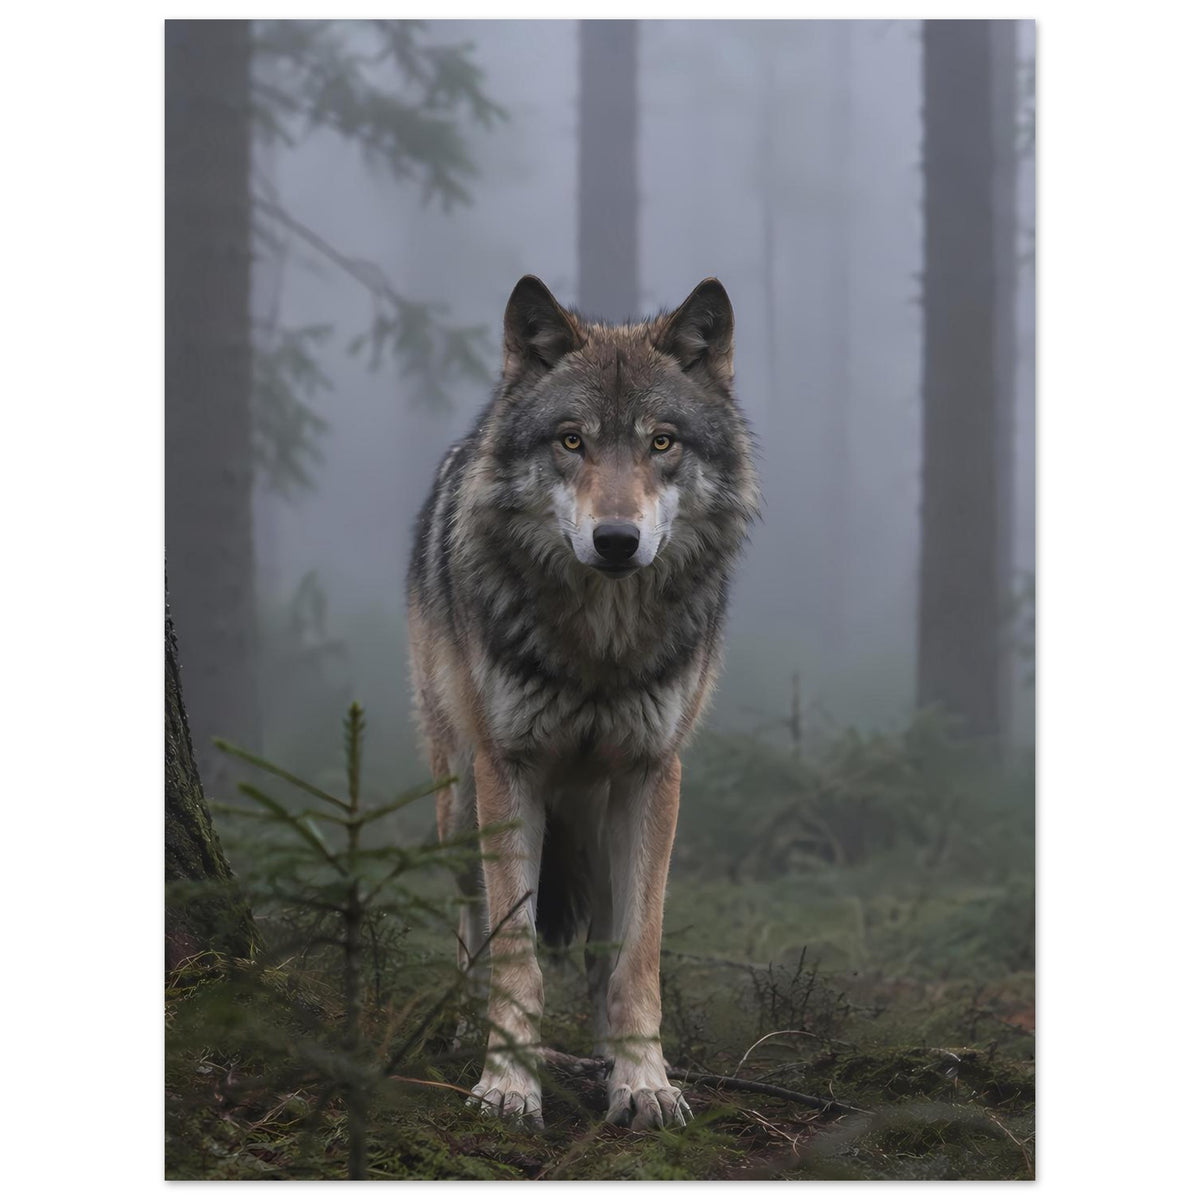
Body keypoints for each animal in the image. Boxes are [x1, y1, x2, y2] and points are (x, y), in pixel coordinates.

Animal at [407, 275, 759, 1130]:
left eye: (662, 442)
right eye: (571, 441)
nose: (616, 540)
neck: (600, 646)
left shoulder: (652, 775)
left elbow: (638, 958)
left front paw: (644, 1081)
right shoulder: (510, 770)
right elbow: (515, 956)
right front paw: (507, 1084)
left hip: (598, 820)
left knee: (603, 946)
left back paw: (605, 1056)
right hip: (459, 800)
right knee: (470, 926)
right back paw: (460, 1029)